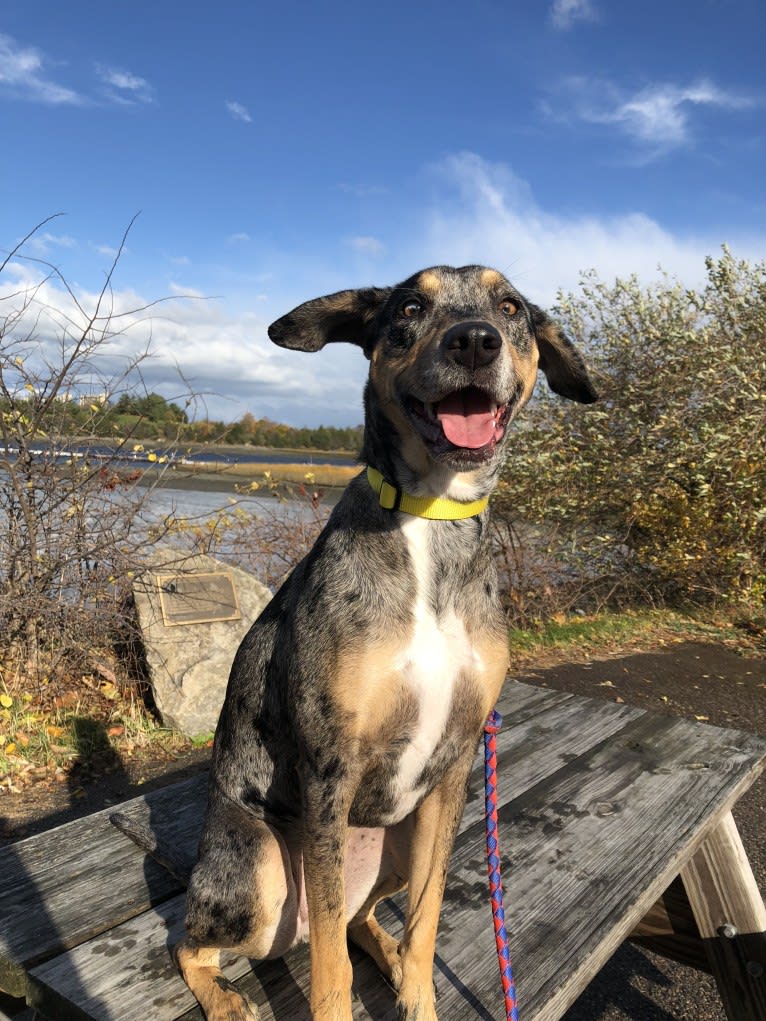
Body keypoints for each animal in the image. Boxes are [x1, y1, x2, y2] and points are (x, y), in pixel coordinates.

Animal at [153, 265, 596, 1021]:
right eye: (410, 307)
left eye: (510, 307)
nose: (474, 340)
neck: (431, 521)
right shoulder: (330, 768)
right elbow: (330, 963)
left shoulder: (453, 767)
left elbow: (425, 919)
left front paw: (417, 994)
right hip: (262, 868)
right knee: (199, 941)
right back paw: (226, 999)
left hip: (399, 837)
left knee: (362, 916)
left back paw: (383, 955)